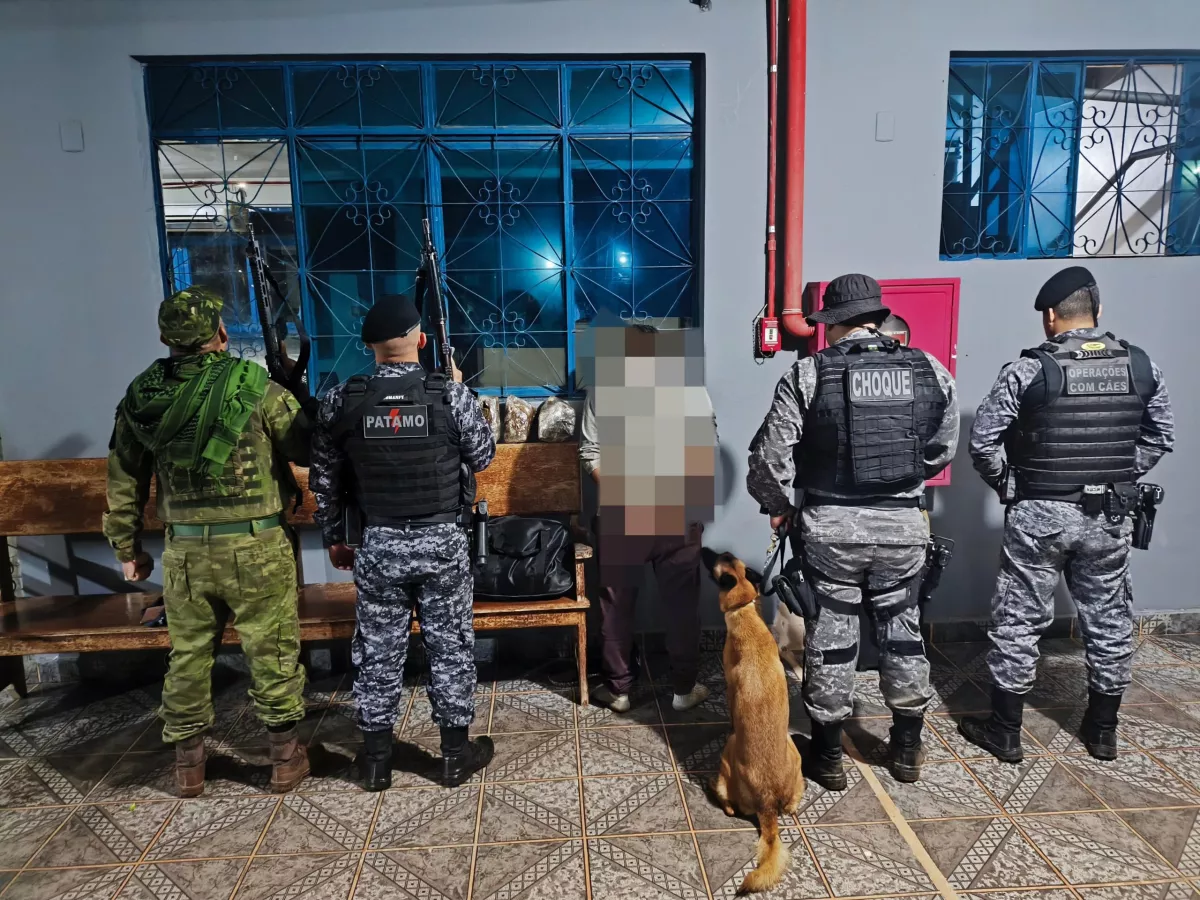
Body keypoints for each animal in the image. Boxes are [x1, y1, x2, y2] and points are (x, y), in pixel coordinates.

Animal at [700, 549, 801, 897]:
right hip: (794, 749)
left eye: (715, 559)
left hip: (727, 758)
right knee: (794, 802)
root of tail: (768, 803)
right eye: (725, 555)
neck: (745, 612)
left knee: (728, 803)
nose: (702, 548)